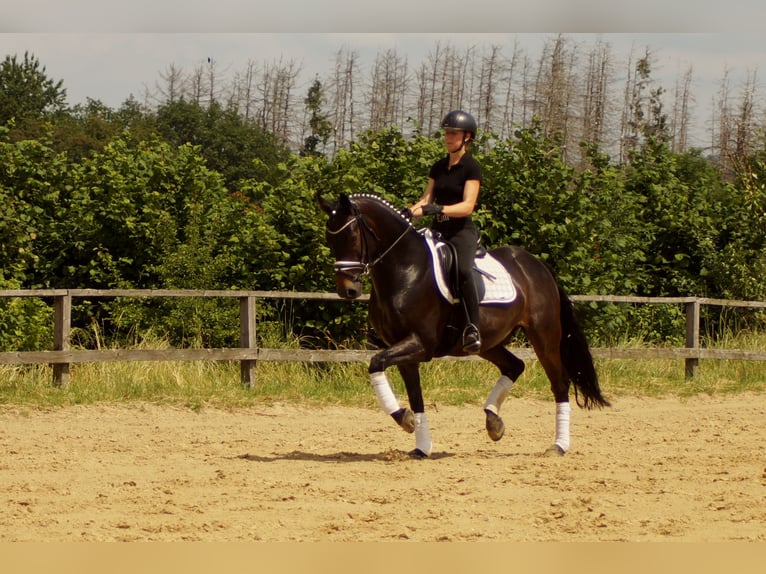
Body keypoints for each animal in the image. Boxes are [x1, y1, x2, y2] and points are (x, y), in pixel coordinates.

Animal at [318, 192, 612, 460]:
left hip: (544, 335)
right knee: (514, 366)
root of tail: (536, 265)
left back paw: (558, 446)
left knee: (559, 383)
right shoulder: (403, 350)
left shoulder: (420, 344)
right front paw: (421, 445)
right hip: (487, 343)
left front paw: (404, 419)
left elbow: (375, 362)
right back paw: (494, 422)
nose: (348, 290)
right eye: (330, 240)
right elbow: (415, 395)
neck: (406, 271)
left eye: (352, 236)